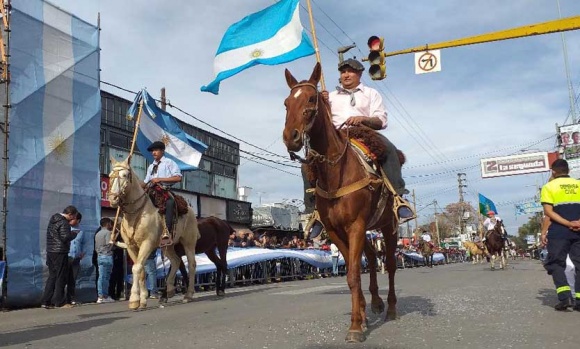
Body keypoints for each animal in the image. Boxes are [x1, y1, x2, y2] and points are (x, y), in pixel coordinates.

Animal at [107, 156, 201, 308]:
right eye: (110, 175)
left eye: (125, 175)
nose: (113, 199)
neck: (136, 213)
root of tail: (191, 211)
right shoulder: (131, 247)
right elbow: (140, 269)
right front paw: (143, 299)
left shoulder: (147, 243)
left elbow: (136, 268)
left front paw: (134, 299)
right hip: (168, 245)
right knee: (176, 261)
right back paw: (168, 292)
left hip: (188, 242)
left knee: (192, 264)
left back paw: (188, 295)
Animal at [280, 63, 398, 342]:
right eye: (287, 102)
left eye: (311, 99)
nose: (291, 137)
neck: (336, 172)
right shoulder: (336, 231)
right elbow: (351, 274)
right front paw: (361, 318)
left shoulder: (355, 226)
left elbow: (354, 275)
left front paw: (355, 326)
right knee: (372, 259)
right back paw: (376, 303)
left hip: (388, 226)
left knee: (389, 264)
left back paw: (391, 307)